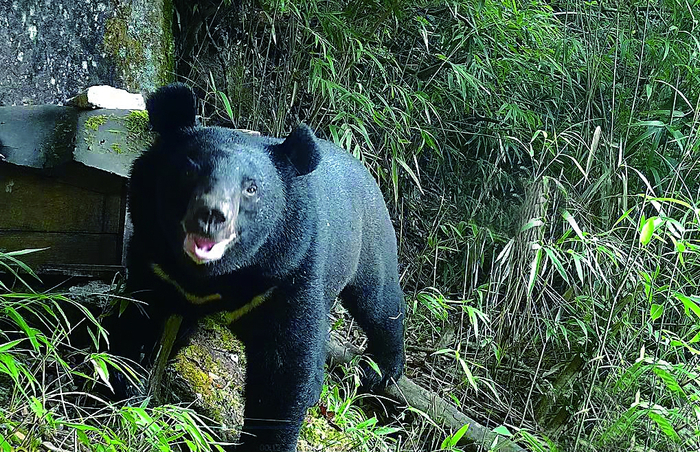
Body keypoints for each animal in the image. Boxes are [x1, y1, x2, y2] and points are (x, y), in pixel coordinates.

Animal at [107, 84, 406, 451]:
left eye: (251, 188)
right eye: (189, 171)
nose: (211, 215)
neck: (212, 276)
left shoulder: (288, 270)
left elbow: (283, 368)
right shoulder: (153, 258)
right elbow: (138, 317)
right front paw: (123, 391)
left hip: (368, 241)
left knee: (379, 303)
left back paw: (380, 370)